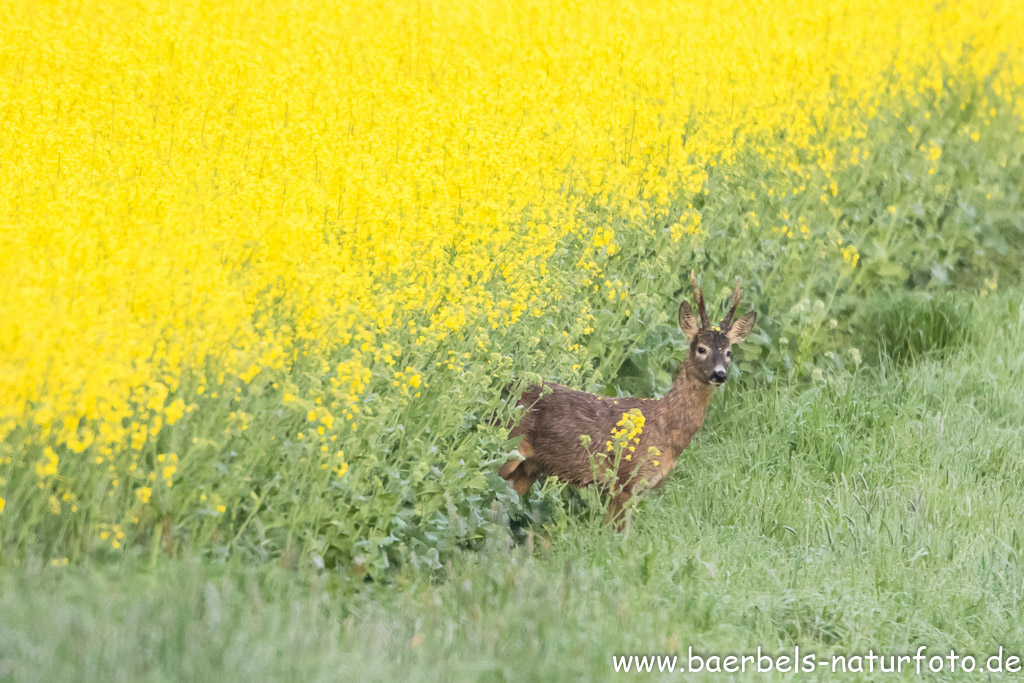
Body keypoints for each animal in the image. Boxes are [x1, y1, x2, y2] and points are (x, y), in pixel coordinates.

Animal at [499, 270, 757, 528]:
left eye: (728, 352)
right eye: (702, 349)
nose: (719, 374)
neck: (667, 429)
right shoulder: (625, 479)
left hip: (530, 467)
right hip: (509, 447)